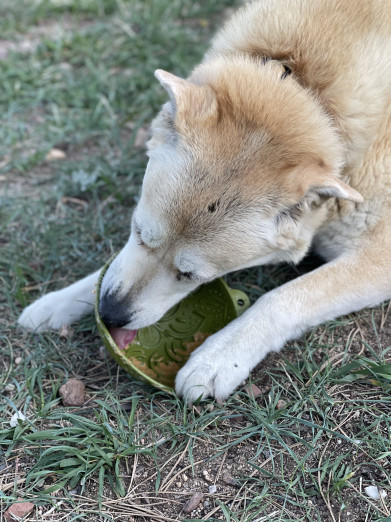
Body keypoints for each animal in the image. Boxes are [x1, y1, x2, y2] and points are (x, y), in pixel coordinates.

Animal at [18, 0, 391, 400]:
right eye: (138, 232)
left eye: (190, 276)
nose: (109, 314)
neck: (308, 87)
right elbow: (108, 268)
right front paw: (61, 300)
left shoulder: (377, 259)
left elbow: (284, 297)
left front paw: (219, 356)